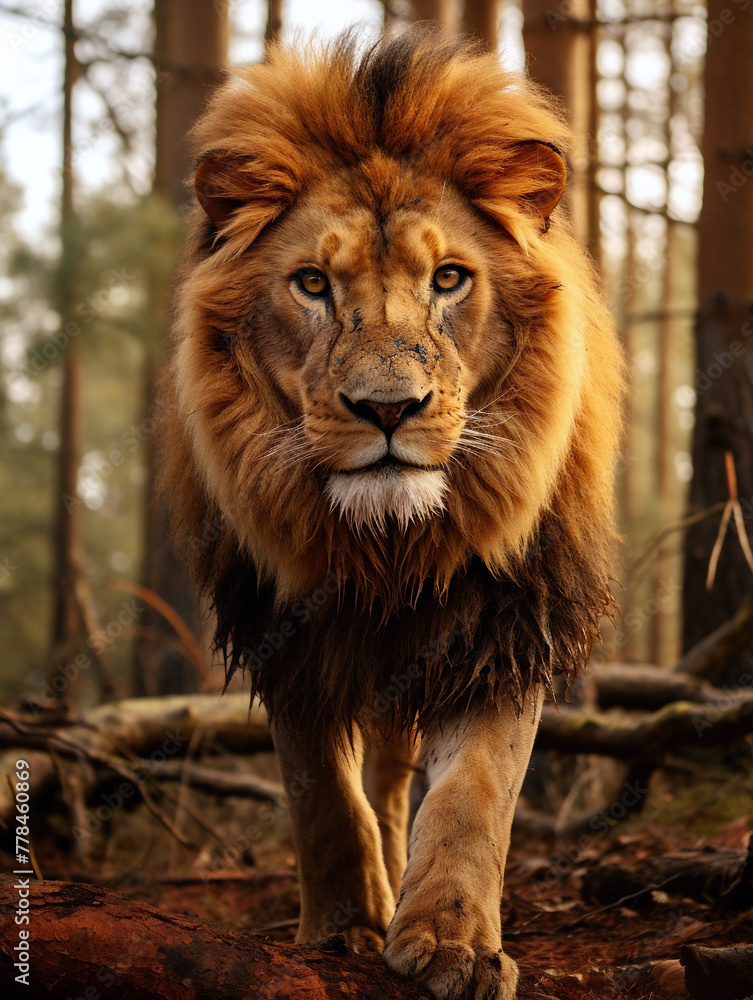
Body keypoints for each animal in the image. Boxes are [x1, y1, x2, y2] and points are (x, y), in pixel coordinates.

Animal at [159, 29, 623, 1000]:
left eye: (448, 279)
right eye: (310, 284)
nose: (386, 409)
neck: (389, 545)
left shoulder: (505, 623)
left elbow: (474, 795)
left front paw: (452, 942)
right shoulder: (283, 628)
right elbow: (320, 795)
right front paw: (342, 930)